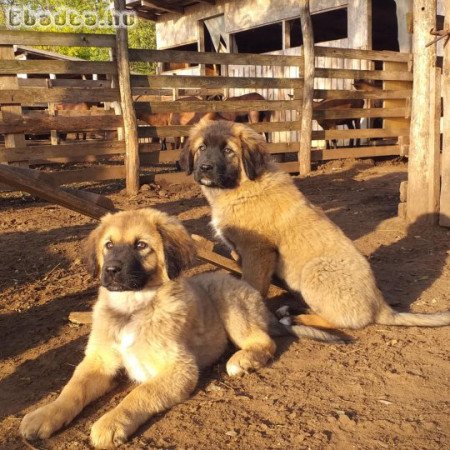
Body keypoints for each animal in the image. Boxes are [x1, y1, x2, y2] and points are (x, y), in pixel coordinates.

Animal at [19, 207, 340, 446]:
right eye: (108, 245)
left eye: (141, 245)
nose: (110, 271)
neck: (132, 309)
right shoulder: (99, 360)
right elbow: (72, 389)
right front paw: (45, 415)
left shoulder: (180, 368)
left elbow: (140, 394)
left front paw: (111, 422)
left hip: (229, 304)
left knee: (264, 341)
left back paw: (242, 360)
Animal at [180, 119, 450, 330]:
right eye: (202, 148)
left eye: (228, 151)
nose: (204, 168)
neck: (242, 186)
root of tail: (381, 306)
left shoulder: (258, 251)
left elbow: (253, 285)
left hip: (314, 271)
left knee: (342, 322)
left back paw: (296, 319)